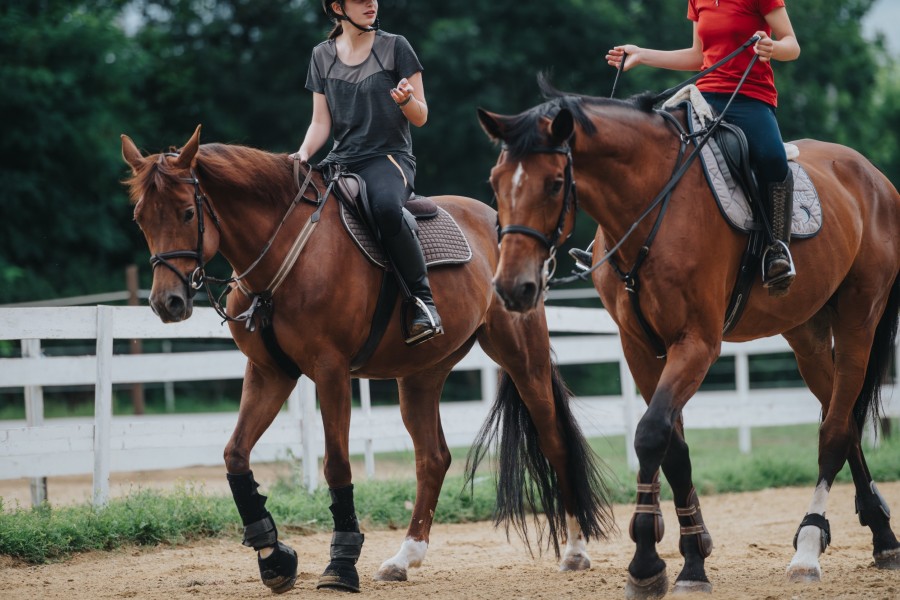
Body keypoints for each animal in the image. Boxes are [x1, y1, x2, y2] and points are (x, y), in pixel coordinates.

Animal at [119, 126, 616, 596]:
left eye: (187, 212)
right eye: (140, 218)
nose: (167, 302)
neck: (286, 252)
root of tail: (499, 221)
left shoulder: (330, 372)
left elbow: (336, 465)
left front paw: (340, 564)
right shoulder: (270, 374)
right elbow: (235, 455)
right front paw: (274, 558)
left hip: (521, 355)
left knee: (554, 441)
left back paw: (575, 550)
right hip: (421, 375)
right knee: (432, 458)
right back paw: (404, 558)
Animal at [478, 81, 900, 600]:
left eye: (555, 183)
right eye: (496, 181)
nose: (512, 287)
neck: (652, 208)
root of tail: (872, 175)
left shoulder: (697, 343)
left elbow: (650, 433)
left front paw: (647, 563)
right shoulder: (640, 348)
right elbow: (672, 447)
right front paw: (691, 554)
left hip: (859, 320)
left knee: (836, 430)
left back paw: (807, 549)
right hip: (808, 333)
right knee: (844, 418)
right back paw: (881, 534)